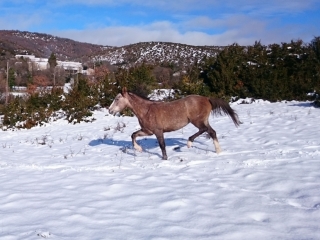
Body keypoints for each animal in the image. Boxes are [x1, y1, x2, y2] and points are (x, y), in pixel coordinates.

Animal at [108, 87, 240, 160]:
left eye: (117, 99)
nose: (110, 110)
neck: (146, 110)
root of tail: (207, 98)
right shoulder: (148, 131)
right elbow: (133, 135)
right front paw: (139, 149)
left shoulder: (158, 131)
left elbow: (162, 146)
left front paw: (164, 160)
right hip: (204, 121)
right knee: (212, 132)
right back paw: (218, 151)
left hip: (197, 121)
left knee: (204, 130)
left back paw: (189, 143)